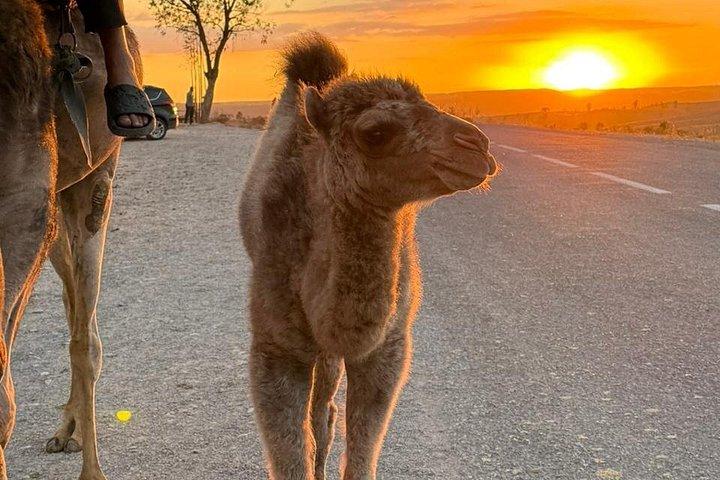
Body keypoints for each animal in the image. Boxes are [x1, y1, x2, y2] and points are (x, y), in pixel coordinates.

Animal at [239, 32, 499, 480]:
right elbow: (289, 454)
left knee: (324, 408)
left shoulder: (389, 347)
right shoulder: (275, 346)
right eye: (375, 132)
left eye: (429, 101)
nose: (477, 146)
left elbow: (362, 449)